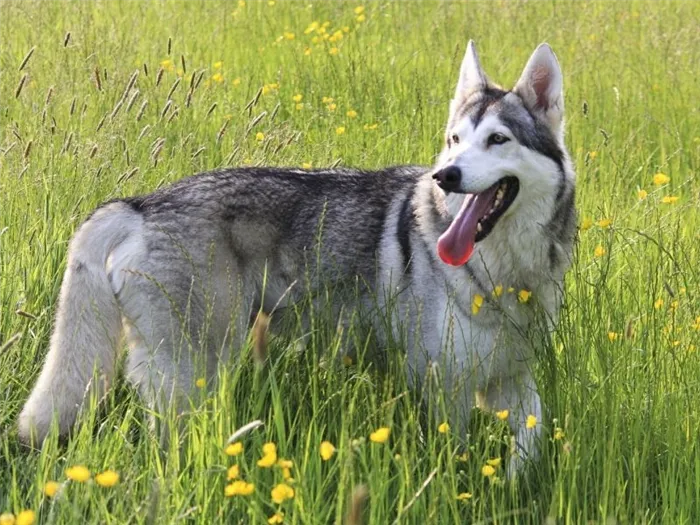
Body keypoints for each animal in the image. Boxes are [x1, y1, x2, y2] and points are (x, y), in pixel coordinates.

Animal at [17, 41, 576, 470]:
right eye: (455, 140)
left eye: (497, 139)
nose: (446, 176)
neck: (504, 272)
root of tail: (139, 204)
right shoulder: (444, 387)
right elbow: (454, 461)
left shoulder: (509, 380)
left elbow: (534, 436)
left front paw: (512, 486)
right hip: (195, 377)